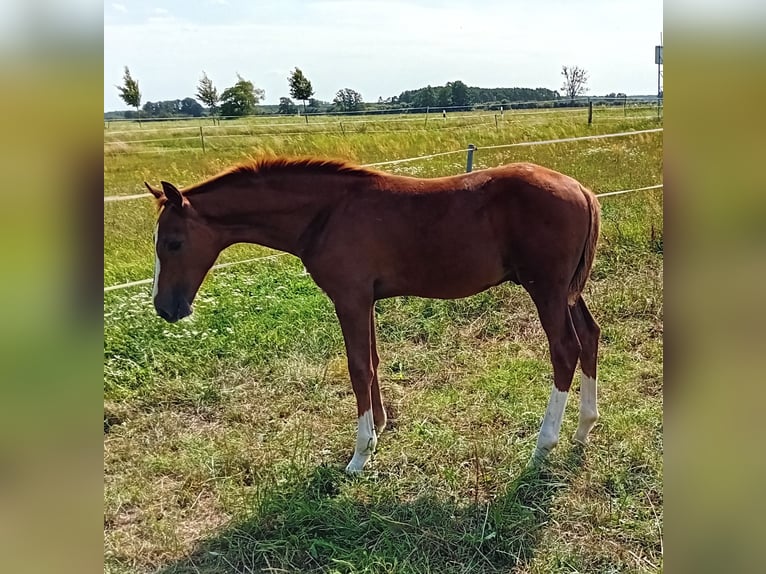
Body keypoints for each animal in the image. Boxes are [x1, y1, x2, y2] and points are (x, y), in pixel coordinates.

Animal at [147, 158, 604, 476]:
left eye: (172, 243)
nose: (165, 308)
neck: (327, 213)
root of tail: (582, 190)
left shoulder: (348, 298)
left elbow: (358, 367)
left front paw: (361, 453)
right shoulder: (365, 299)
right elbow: (373, 361)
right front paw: (381, 427)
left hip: (545, 290)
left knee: (565, 349)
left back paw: (543, 445)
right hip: (566, 292)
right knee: (590, 337)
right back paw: (584, 428)